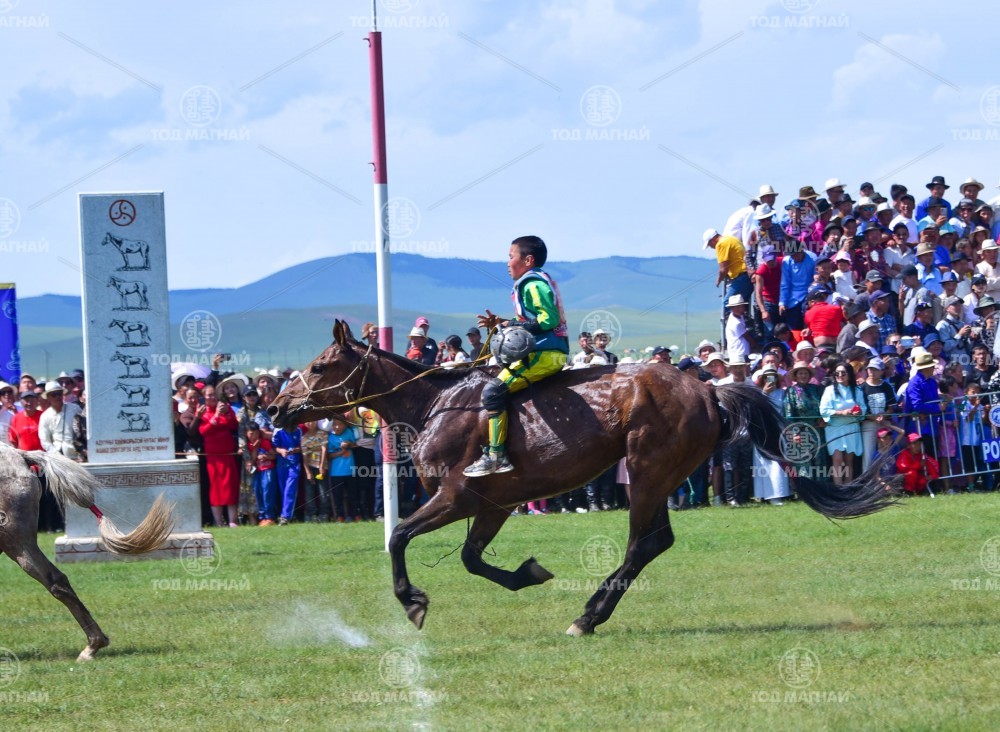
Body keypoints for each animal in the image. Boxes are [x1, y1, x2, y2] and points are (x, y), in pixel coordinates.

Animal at [269, 321, 896, 636]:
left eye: (320, 366)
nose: (275, 408)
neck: (435, 406)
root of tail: (709, 389)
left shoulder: (456, 495)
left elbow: (399, 536)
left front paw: (413, 602)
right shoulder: (493, 504)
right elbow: (471, 559)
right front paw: (528, 573)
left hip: (646, 472)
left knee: (643, 543)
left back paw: (588, 616)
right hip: (657, 476)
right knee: (655, 541)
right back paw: (591, 612)